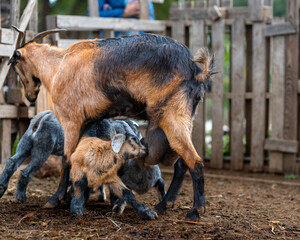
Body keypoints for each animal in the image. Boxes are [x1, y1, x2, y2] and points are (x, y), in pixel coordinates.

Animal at [8, 26, 213, 219]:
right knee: (181, 164)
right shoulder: (85, 123)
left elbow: (67, 159)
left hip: (172, 117)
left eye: (15, 65)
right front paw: (72, 196)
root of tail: (196, 70)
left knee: (194, 161)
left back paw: (195, 210)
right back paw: (164, 204)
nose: (30, 96)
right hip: (182, 120)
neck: (58, 65)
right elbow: (78, 158)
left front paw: (55, 199)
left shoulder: (70, 120)